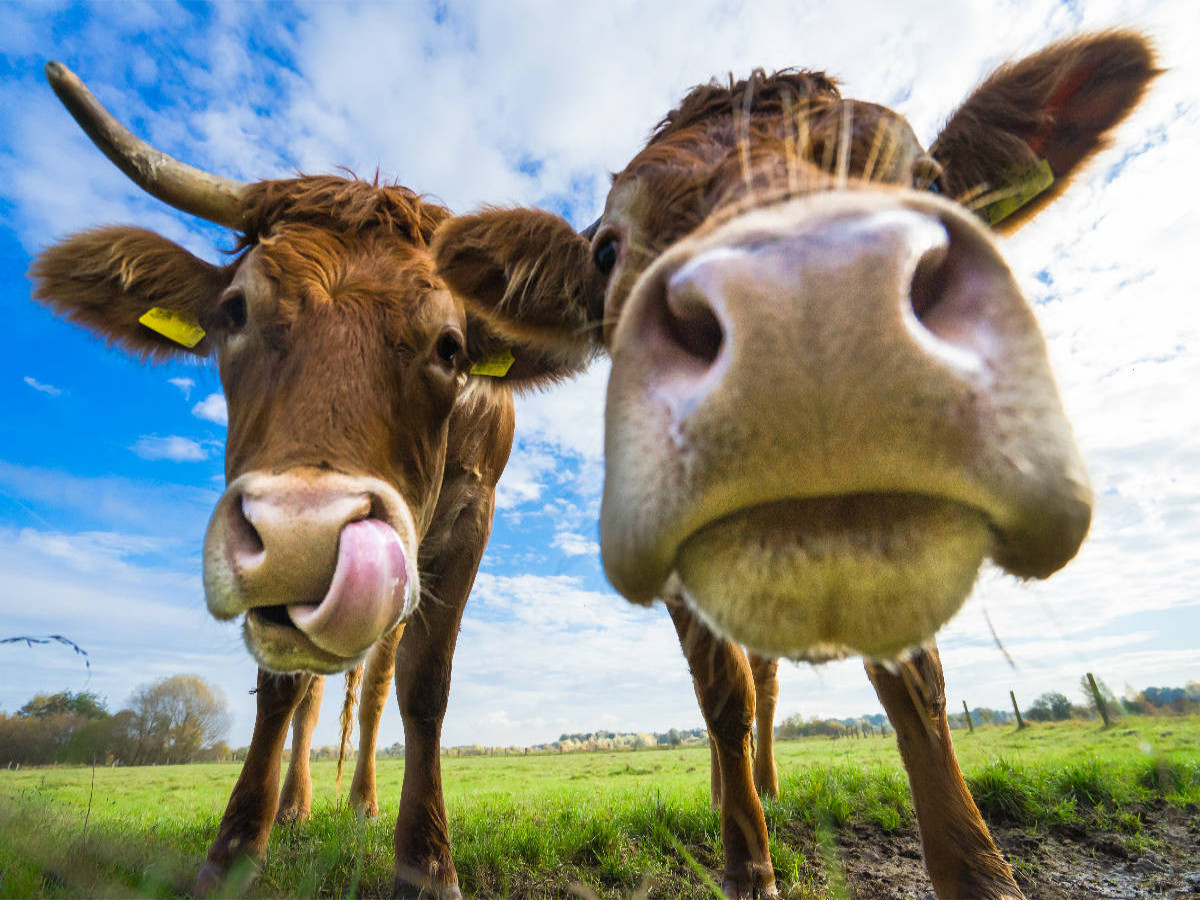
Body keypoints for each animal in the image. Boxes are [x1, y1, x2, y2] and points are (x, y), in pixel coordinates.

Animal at [29, 62, 587, 899]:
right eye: (234, 311)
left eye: (451, 346)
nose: (305, 535)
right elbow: (283, 691)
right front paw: (237, 847)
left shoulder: (472, 519)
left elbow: (425, 685)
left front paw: (426, 861)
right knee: (316, 694)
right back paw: (296, 807)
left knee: (374, 690)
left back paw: (361, 804)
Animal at [433, 32, 1159, 899]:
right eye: (608, 251)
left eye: (931, 183)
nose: (811, 312)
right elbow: (721, 695)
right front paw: (748, 865)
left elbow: (917, 686)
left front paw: (982, 874)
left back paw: (765, 786)